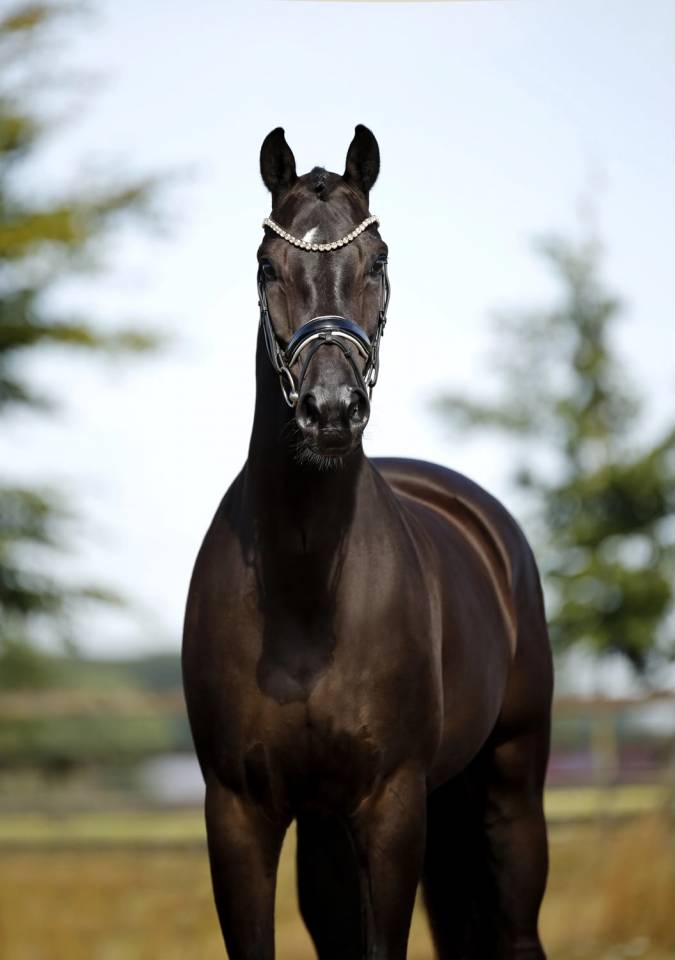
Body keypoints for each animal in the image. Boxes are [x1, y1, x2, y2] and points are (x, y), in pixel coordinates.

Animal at [182, 124, 552, 960]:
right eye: (267, 265)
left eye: (378, 260)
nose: (329, 409)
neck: (306, 589)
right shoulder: (238, 813)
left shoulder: (391, 806)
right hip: (329, 824)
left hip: (510, 787)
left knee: (516, 927)